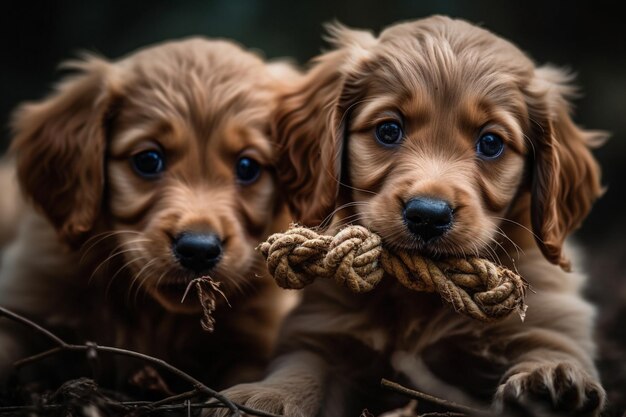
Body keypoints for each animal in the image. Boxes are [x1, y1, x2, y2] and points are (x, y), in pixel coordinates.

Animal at [0, 37, 298, 392]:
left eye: (248, 167)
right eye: (148, 160)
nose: (199, 251)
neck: (154, 315)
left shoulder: (253, 340)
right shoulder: (28, 298)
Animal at [218, 14, 604, 414]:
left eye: (491, 142)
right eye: (388, 130)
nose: (428, 216)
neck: (420, 294)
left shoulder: (550, 316)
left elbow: (552, 345)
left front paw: (550, 377)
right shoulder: (322, 330)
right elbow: (302, 369)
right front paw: (268, 395)